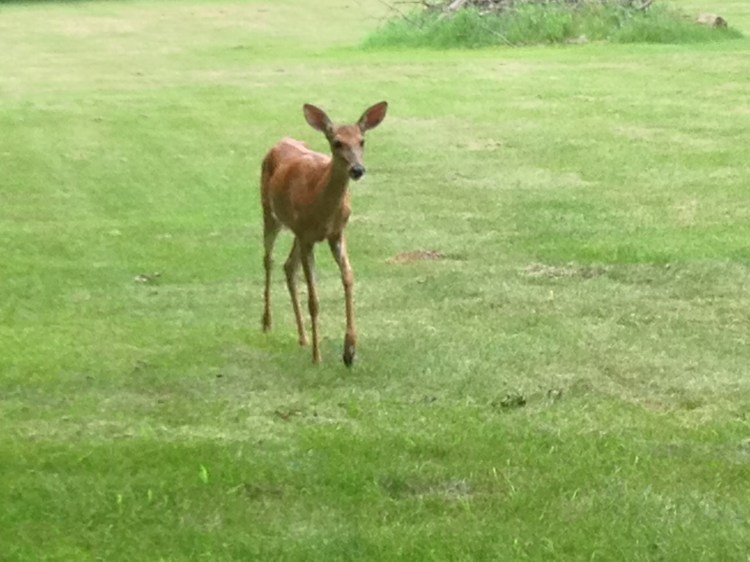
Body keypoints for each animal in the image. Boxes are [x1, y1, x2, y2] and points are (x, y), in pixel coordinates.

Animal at [260, 101, 388, 366]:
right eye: (337, 142)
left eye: (362, 141)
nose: (357, 169)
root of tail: (280, 141)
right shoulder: (308, 236)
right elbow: (313, 300)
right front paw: (317, 356)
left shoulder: (336, 233)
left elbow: (348, 278)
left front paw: (349, 350)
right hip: (270, 211)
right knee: (268, 259)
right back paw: (267, 323)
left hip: (296, 231)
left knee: (288, 266)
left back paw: (302, 337)